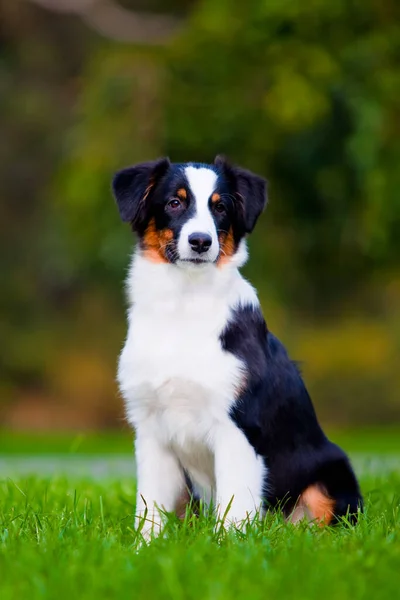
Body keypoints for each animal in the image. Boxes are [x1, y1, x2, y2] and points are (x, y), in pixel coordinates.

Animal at [111, 155, 362, 540]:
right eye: (174, 202)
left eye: (221, 208)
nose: (201, 241)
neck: (184, 304)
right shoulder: (151, 430)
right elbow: (149, 509)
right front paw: (145, 548)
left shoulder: (239, 427)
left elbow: (234, 507)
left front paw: (226, 548)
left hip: (330, 476)